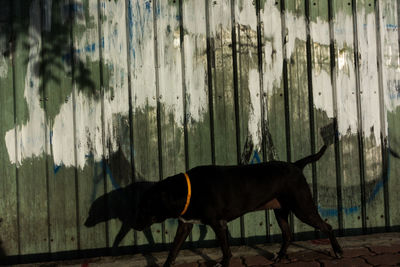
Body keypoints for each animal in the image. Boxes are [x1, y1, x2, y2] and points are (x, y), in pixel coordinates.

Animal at [135, 146, 344, 266]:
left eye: (145, 206)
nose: (135, 226)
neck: (188, 190)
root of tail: (296, 165)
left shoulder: (218, 224)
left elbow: (226, 251)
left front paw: (223, 263)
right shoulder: (185, 225)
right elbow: (173, 251)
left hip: (303, 208)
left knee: (327, 226)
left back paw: (338, 251)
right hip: (280, 211)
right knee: (288, 235)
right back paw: (279, 257)